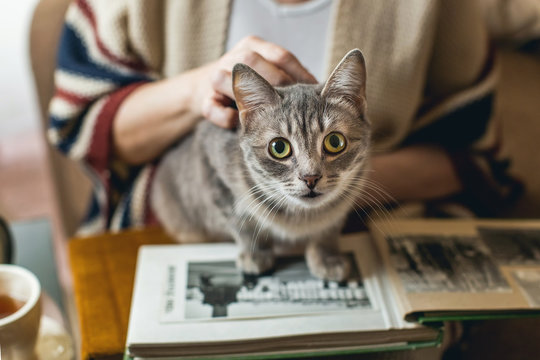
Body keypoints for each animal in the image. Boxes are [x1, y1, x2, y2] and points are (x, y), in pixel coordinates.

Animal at [152, 48, 372, 282]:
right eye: (279, 147)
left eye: (335, 142)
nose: (310, 177)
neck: (301, 217)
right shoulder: (216, 179)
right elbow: (244, 226)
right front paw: (255, 255)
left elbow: (328, 229)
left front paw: (327, 257)